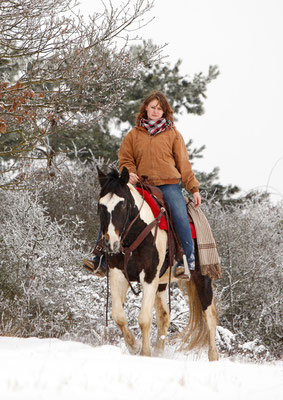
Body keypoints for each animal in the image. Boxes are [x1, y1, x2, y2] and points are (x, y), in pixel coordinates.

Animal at [97, 167, 220, 360]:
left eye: (123, 205)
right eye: (100, 205)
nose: (111, 244)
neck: (136, 232)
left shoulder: (149, 275)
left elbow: (144, 319)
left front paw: (145, 353)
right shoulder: (117, 274)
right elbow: (118, 315)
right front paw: (134, 346)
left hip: (202, 278)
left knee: (209, 315)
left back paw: (213, 357)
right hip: (162, 283)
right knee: (164, 316)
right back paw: (159, 351)